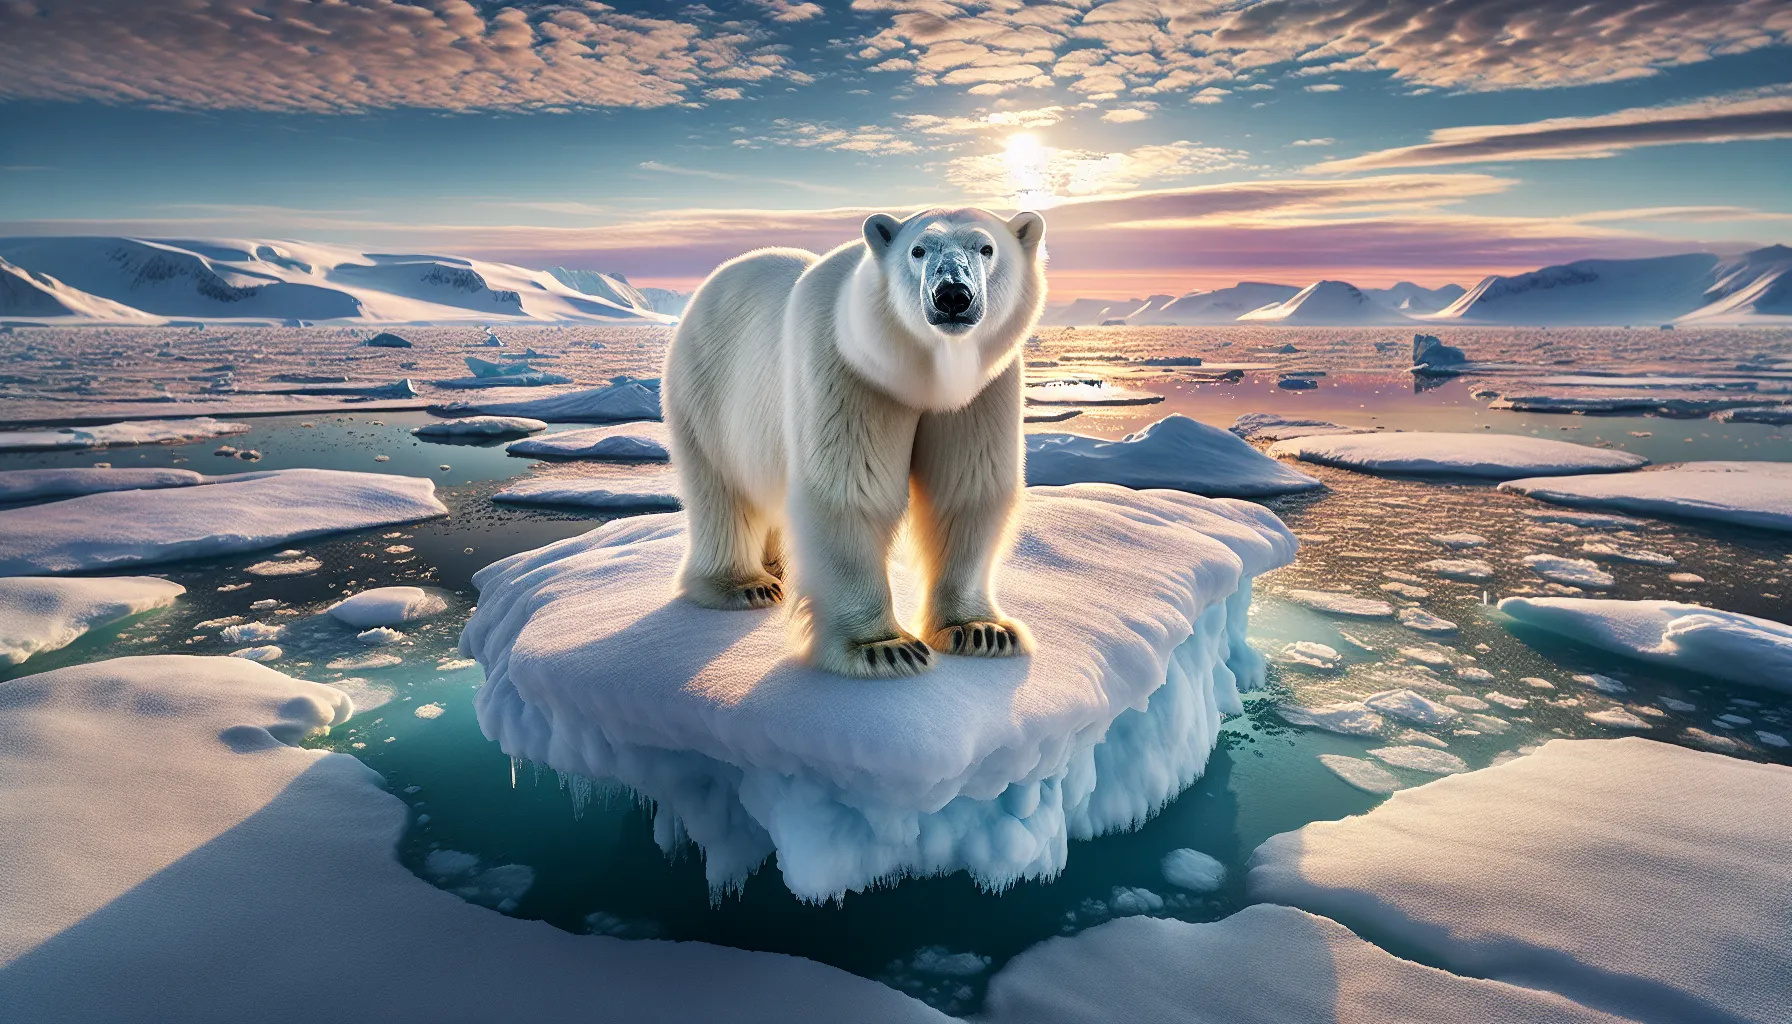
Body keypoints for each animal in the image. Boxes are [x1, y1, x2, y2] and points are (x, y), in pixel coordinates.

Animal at [661, 207, 1047, 678]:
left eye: (986, 248)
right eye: (919, 250)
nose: (952, 296)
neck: (921, 375)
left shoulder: (983, 391)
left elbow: (968, 491)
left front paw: (981, 630)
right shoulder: (847, 370)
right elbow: (850, 492)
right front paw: (884, 647)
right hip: (706, 391)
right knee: (721, 489)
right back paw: (745, 584)